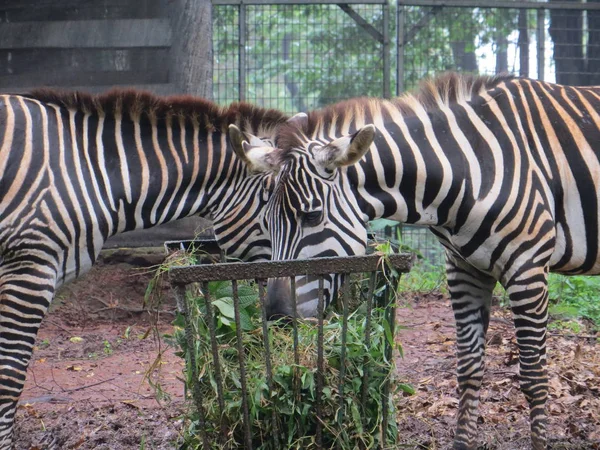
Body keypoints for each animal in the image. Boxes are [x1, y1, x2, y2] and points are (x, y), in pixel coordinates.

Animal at [236, 72, 600, 448]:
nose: (276, 318)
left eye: (311, 216)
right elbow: (469, 369)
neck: (469, 166)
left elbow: (533, 376)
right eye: (267, 224)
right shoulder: (463, 269)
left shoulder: (527, 268)